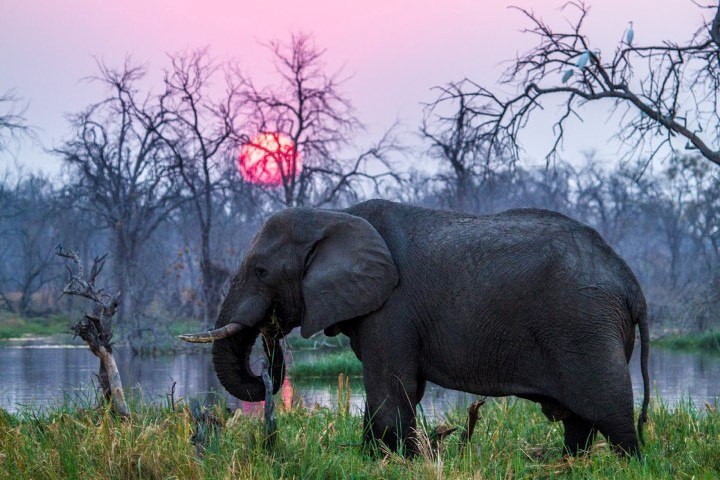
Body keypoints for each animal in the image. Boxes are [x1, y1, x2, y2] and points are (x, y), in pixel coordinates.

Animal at [179, 199, 648, 458]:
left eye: (261, 271)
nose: (268, 353)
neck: (334, 215)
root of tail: (629, 280)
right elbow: (400, 391)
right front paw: (378, 459)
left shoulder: (392, 307)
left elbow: (391, 389)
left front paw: (387, 460)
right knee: (581, 420)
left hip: (585, 325)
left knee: (610, 412)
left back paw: (628, 464)